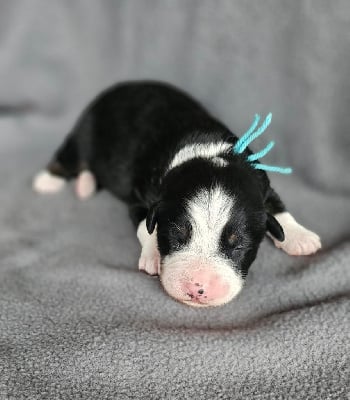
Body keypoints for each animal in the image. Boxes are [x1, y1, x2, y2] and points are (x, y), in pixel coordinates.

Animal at [34, 80, 322, 306]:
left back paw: (85, 185)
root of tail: (119, 87)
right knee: (68, 158)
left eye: (238, 245)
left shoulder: (260, 183)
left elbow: (277, 207)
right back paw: (47, 181)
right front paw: (152, 256)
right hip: (85, 132)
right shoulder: (142, 197)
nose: (198, 288)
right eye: (176, 235)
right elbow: (145, 225)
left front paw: (300, 237)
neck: (211, 154)